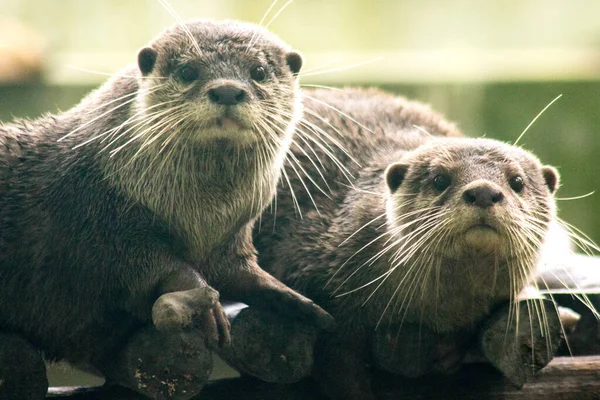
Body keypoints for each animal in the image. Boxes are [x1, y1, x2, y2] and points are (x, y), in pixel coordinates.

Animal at [0, 19, 332, 400]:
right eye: (188, 71)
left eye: (259, 72)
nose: (227, 91)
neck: (202, 216)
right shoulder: (94, 220)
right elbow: (148, 264)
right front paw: (206, 303)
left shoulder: (231, 237)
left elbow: (238, 271)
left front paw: (297, 301)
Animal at [254, 88, 564, 400]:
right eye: (440, 179)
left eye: (517, 181)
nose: (484, 191)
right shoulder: (320, 288)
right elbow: (340, 368)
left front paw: (450, 351)